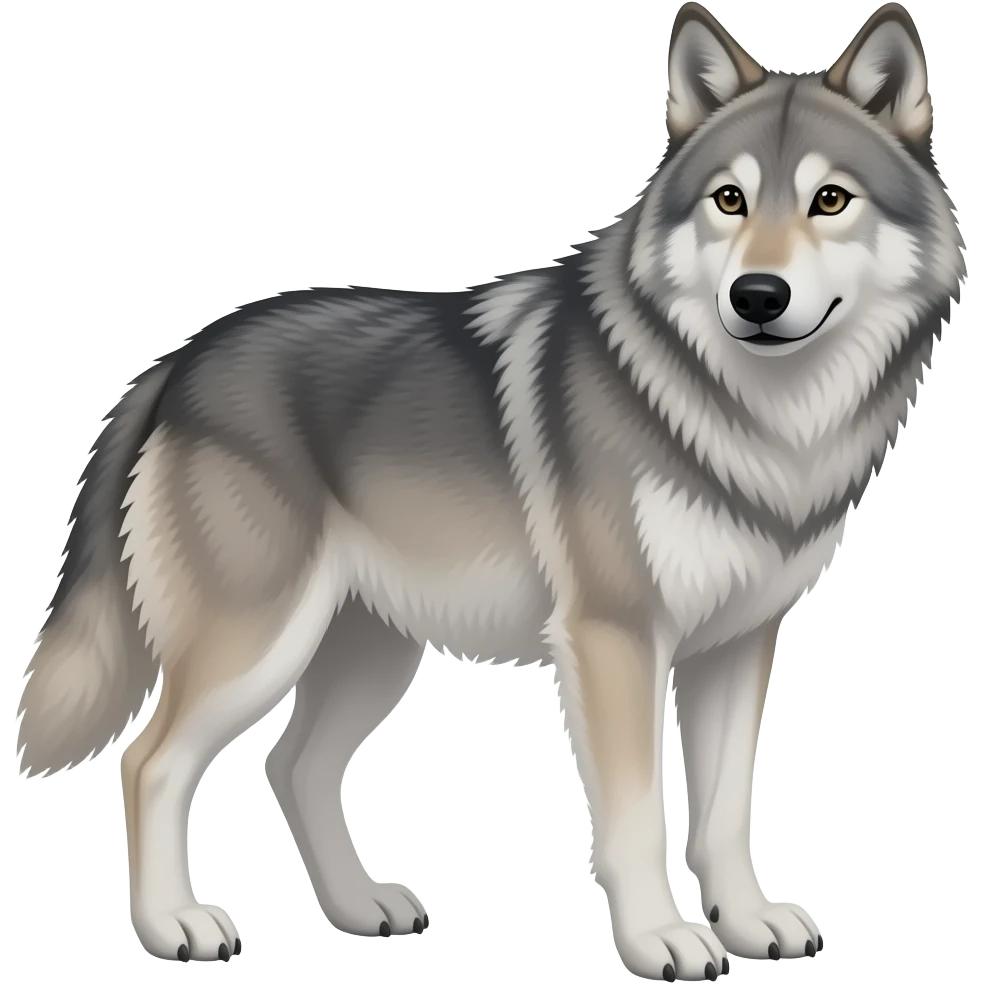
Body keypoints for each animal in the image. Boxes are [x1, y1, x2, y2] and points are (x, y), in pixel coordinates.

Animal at [15, 2, 966, 979]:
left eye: (830, 200)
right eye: (729, 200)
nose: (759, 295)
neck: (757, 419)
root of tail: (177, 362)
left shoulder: (737, 644)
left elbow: (725, 812)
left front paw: (744, 922)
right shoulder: (615, 637)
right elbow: (638, 812)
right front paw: (660, 939)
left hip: (368, 652)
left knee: (293, 765)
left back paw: (358, 907)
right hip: (257, 645)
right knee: (150, 762)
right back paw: (176, 925)